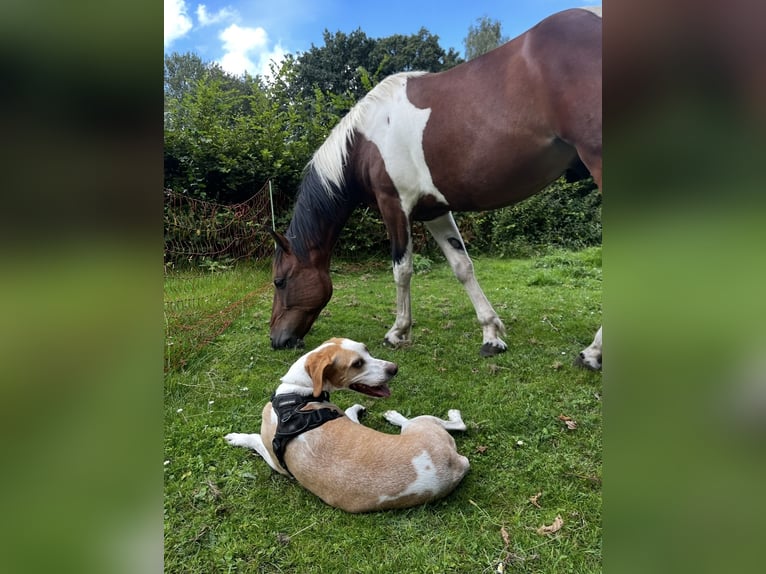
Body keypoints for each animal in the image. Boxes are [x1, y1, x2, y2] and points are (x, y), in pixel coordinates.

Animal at [269, 8, 601, 355]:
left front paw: (398, 332)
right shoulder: (435, 211)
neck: (363, 142)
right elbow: (462, 266)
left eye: (280, 281)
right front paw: (490, 335)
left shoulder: (394, 205)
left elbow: (402, 269)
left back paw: (594, 353)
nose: (277, 340)